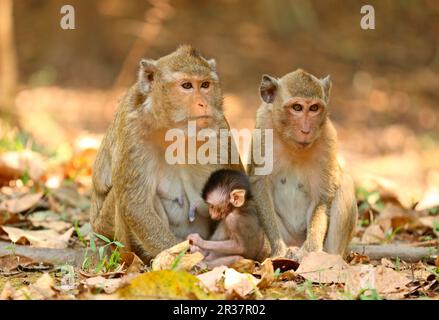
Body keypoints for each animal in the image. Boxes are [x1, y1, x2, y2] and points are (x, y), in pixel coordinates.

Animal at [90, 45, 244, 262]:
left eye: (205, 85)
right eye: (187, 85)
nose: (203, 103)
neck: (173, 129)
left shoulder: (220, 126)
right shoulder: (132, 129)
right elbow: (136, 206)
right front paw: (186, 261)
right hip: (106, 229)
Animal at [248, 68, 358, 260]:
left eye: (314, 108)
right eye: (297, 108)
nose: (306, 130)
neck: (293, 147)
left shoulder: (328, 139)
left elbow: (322, 195)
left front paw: (309, 252)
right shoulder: (263, 130)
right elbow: (259, 185)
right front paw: (278, 251)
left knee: (345, 184)